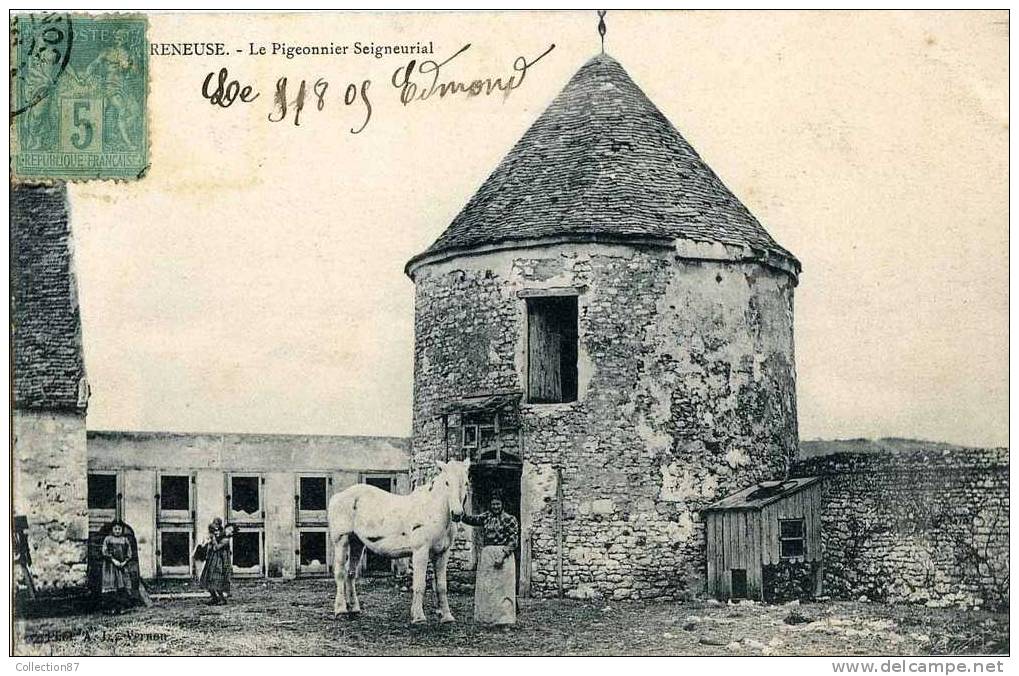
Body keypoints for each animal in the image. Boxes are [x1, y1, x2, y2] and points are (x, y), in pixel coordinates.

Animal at [326, 460, 468, 624]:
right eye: (446, 482)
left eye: (466, 482)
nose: (457, 514)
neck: (432, 511)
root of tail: (337, 497)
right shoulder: (421, 551)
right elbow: (420, 585)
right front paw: (419, 617)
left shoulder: (442, 554)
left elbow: (441, 586)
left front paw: (446, 617)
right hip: (341, 540)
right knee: (340, 574)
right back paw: (341, 610)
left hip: (357, 543)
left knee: (351, 574)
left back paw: (354, 608)